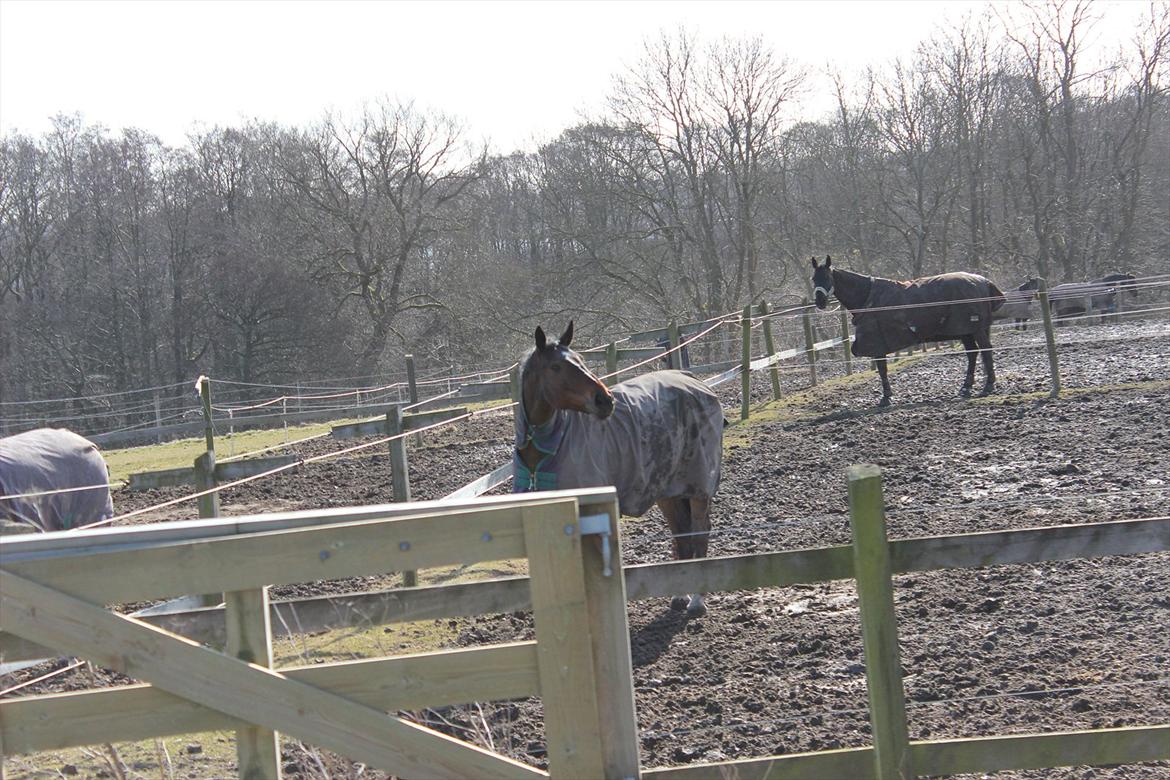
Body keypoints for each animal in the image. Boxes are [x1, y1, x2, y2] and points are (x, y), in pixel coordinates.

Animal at [512, 322, 720, 617]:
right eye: (555, 367)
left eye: (581, 360)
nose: (605, 400)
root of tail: (693, 380)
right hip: (667, 491)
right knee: (681, 534)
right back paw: (679, 595)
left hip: (698, 487)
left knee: (699, 532)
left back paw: (697, 601)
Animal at [814, 256, 1006, 406]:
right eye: (813, 278)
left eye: (827, 277)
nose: (819, 301)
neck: (868, 297)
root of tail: (983, 281)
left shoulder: (878, 345)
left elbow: (882, 369)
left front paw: (886, 398)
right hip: (966, 331)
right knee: (972, 354)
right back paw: (966, 387)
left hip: (976, 329)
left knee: (986, 351)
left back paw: (988, 386)